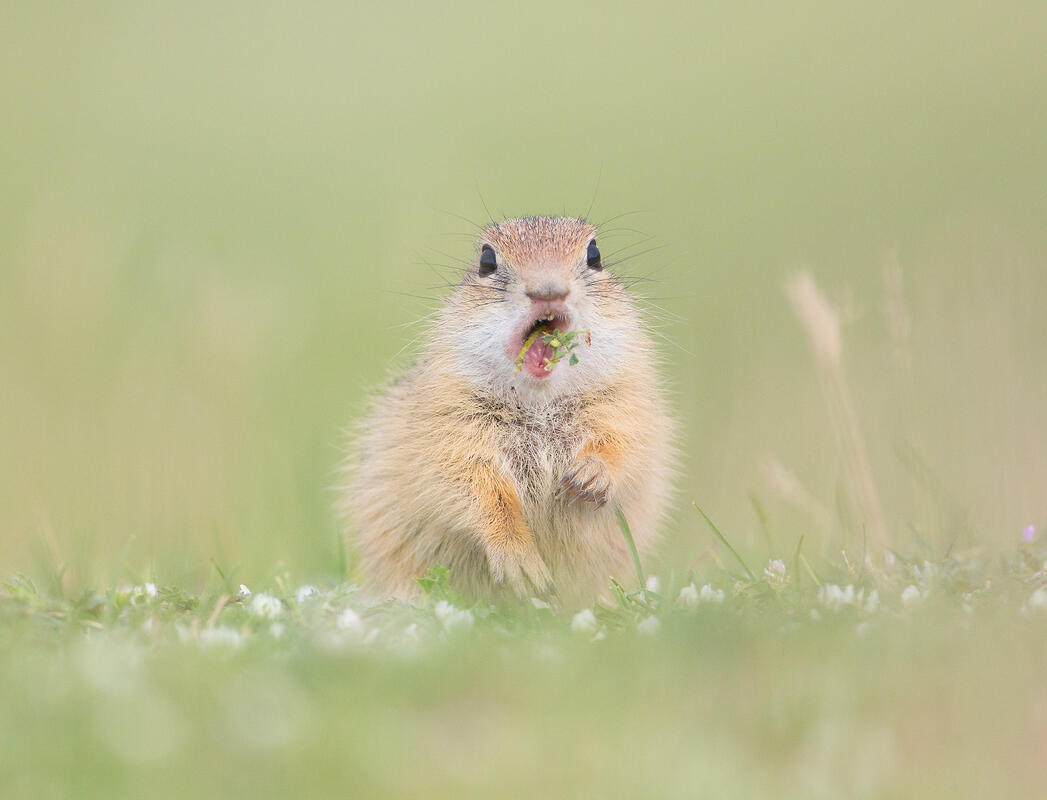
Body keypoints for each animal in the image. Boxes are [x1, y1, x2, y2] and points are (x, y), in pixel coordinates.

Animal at [340, 216, 674, 605]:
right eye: (487, 259)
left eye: (595, 254)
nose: (548, 291)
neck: (539, 402)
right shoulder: (449, 426)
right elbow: (472, 488)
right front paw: (523, 565)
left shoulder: (626, 402)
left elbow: (629, 445)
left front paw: (591, 474)